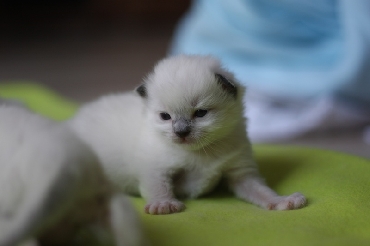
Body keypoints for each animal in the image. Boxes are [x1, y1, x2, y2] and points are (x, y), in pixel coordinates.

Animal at [69, 54, 306, 214]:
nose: (180, 132)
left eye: (200, 113)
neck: (202, 151)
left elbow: (261, 191)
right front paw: (163, 205)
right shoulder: (154, 167)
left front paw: (282, 201)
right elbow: (158, 185)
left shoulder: (240, 171)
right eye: (165, 116)